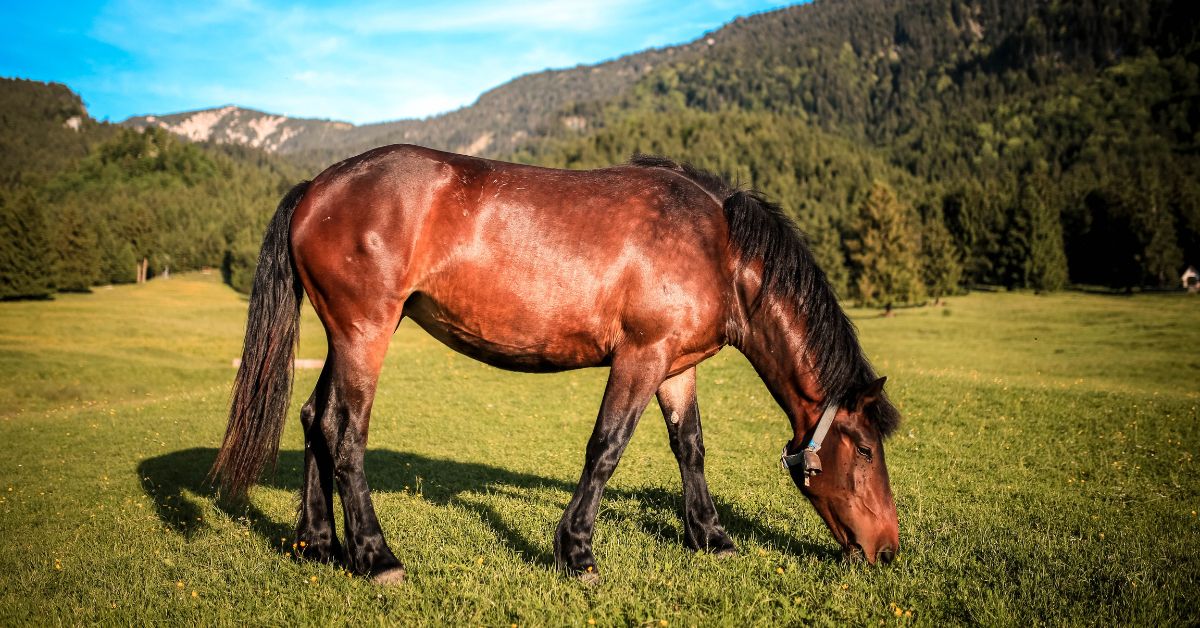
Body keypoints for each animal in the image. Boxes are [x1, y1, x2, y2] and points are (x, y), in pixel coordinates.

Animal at [211, 143, 902, 585]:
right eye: (866, 450)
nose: (888, 550)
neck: (717, 245)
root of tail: (317, 187)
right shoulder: (641, 356)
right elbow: (606, 447)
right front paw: (576, 552)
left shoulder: (677, 366)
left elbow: (691, 447)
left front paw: (710, 536)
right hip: (365, 333)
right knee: (345, 432)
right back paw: (376, 557)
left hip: (347, 335)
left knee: (314, 418)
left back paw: (319, 543)